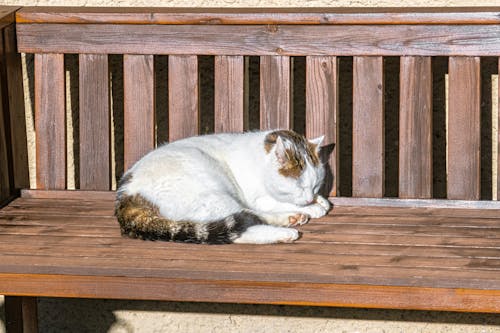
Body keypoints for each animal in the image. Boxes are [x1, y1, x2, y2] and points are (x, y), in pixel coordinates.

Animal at [114, 130, 330, 244]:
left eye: (316, 185)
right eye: (299, 185)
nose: (309, 198)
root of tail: (126, 196)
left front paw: (320, 201)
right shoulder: (258, 198)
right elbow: (276, 201)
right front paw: (313, 207)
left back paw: (290, 219)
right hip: (213, 193)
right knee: (239, 226)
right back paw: (285, 231)